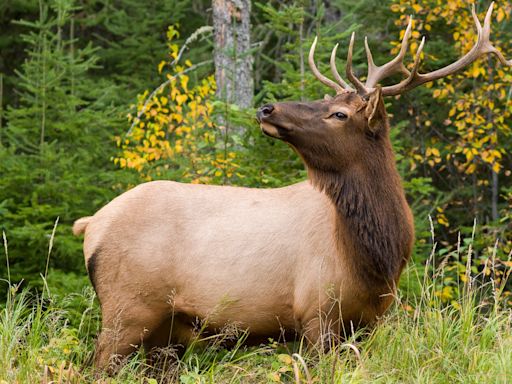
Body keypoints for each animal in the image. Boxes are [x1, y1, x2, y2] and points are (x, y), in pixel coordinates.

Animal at [74, 1, 510, 370]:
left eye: (339, 112)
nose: (267, 107)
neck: (375, 257)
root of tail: (91, 224)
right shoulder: (316, 314)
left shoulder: (369, 322)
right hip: (127, 309)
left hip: (167, 330)